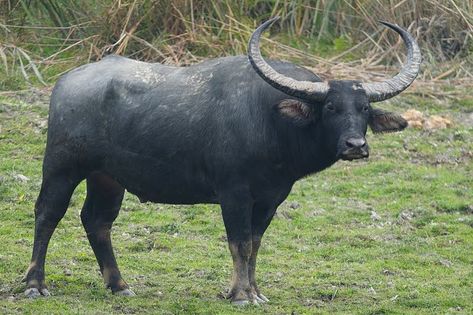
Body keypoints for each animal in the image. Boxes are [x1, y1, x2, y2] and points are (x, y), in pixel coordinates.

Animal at [22, 16, 420, 304]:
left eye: (364, 108)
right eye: (332, 107)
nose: (356, 145)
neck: (271, 121)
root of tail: (66, 82)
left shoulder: (271, 199)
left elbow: (255, 244)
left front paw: (254, 291)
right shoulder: (234, 194)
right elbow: (239, 242)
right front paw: (242, 295)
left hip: (107, 177)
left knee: (97, 220)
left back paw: (119, 284)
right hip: (61, 167)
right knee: (47, 214)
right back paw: (35, 284)